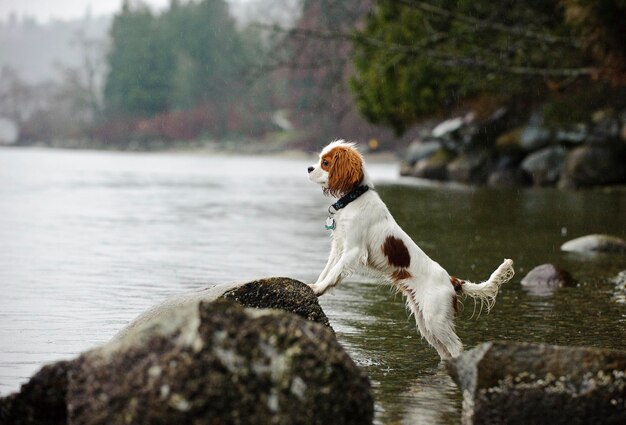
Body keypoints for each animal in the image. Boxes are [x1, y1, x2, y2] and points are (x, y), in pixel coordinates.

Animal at [306, 141, 512, 360]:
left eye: (325, 163)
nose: (308, 168)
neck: (353, 198)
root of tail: (452, 280)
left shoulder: (354, 250)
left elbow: (335, 271)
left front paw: (318, 289)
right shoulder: (339, 247)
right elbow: (327, 270)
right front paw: (316, 286)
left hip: (435, 319)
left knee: (456, 347)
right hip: (425, 322)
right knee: (444, 351)